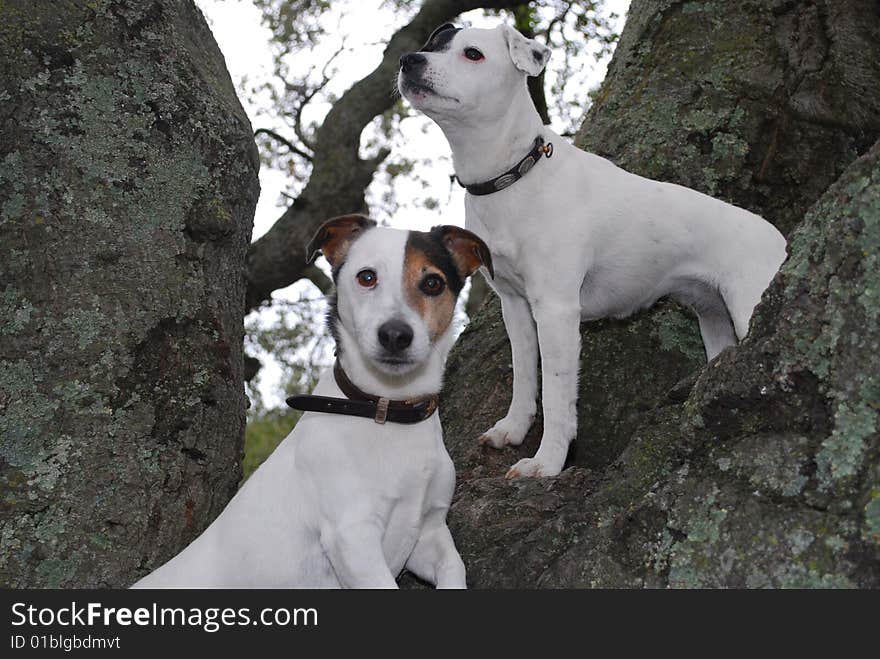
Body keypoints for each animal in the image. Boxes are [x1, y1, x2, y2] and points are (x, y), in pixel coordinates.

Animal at [133, 215, 492, 588]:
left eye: (433, 283)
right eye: (367, 277)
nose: (395, 335)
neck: (386, 410)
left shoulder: (429, 532)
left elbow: (454, 566)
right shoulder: (352, 537)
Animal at [398, 23, 784, 480]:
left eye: (472, 53)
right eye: (433, 44)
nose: (409, 60)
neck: (513, 176)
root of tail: (779, 240)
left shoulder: (556, 309)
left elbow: (557, 395)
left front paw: (546, 463)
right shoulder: (514, 304)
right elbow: (524, 375)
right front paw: (513, 430)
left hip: (748, 304)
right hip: (713, 318)